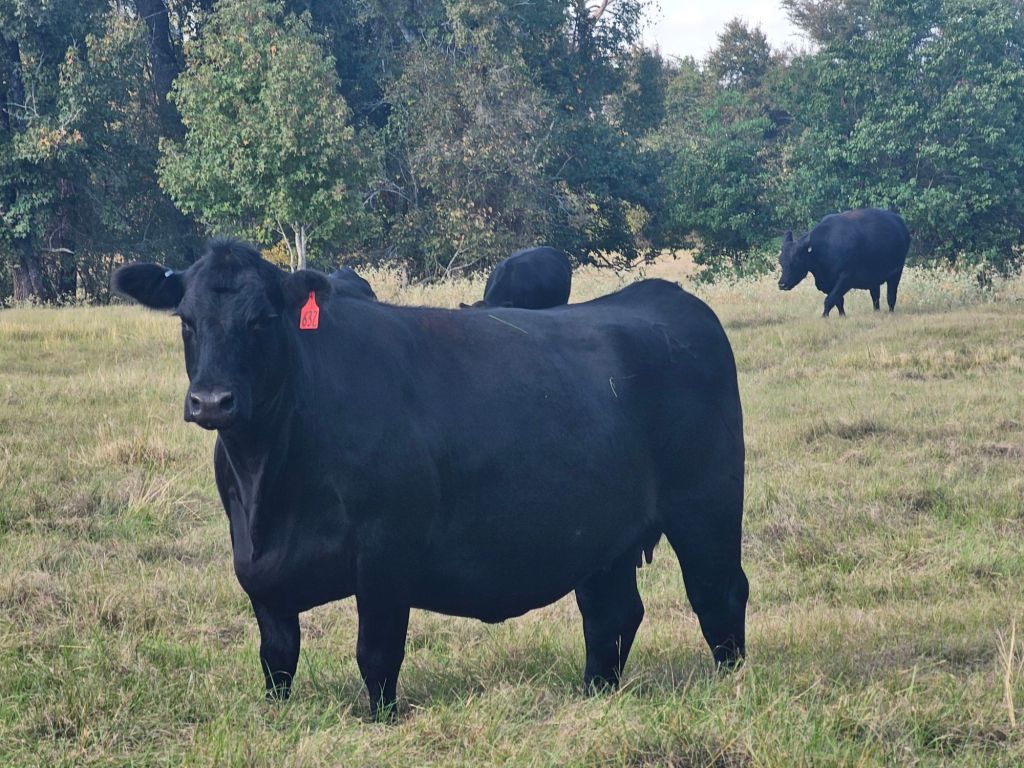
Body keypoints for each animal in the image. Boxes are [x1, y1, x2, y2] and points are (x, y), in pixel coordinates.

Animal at [111, 239, 748, 719]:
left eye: (263, 320)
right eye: (187, 321)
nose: (211, 401)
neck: (267, 482)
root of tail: (665, 296)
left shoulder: (386, 552)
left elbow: (376, 653)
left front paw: (381, 722)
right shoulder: (255, 566)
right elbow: (278, 656)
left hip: (707, 507)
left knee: (718, 593)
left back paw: (731, 684)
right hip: (603, 532)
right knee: (611, 612)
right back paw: (594, 696)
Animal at [778, 208, 910, 316]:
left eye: (796, 260)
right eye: (781, 261)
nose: (782, 284)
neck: (824, 248)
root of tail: (900, 223)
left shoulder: (845, 278)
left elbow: (829, 300)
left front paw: (824, 316)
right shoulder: (830, 283)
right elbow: (838, 301)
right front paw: (842, 316)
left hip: (896, 272)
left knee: (891, 295)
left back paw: (891, 312)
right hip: (874, 277)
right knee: (875, 296)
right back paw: (876, 311)